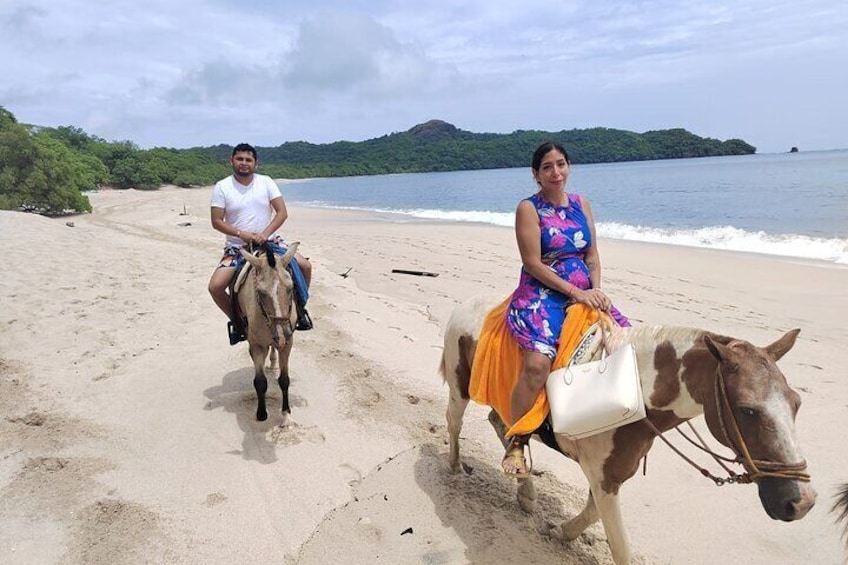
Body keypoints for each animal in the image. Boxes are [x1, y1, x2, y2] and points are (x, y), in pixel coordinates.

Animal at [237, 240, 300, 420]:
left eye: (291, 287)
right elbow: (260, 381)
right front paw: (261, 413)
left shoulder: (288, 343)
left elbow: (284, 379)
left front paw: (286, 414)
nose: (282, 334)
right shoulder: (257, 345)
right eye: (260, 292)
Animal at [440, 296, 820, 564]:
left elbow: (591, 514)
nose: (801, 503)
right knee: (455, 421)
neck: (637, 389)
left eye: (796, 403)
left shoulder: (610, 476)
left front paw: (561, 532)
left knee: (501, 425)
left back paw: (526, 493)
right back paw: (457, 467)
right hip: (460, 386)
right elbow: (620, 547)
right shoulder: (603, 478)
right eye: (747, 410)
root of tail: (466, 305)